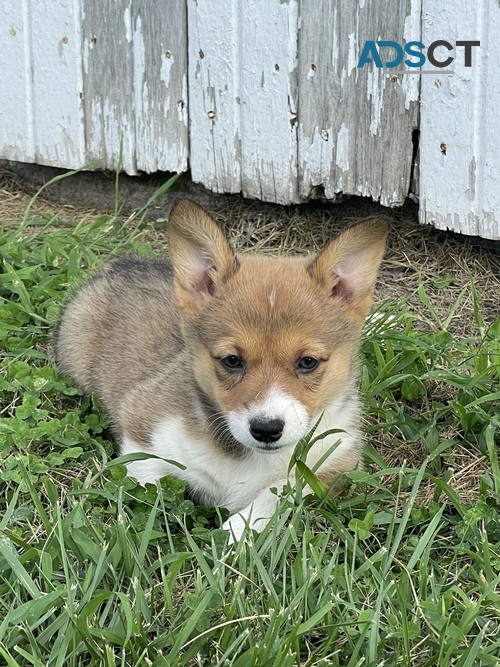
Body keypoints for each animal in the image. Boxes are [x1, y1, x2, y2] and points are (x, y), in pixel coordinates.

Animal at [56, 200, 388, 544]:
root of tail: (123, 265)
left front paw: (235, 534)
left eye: (307, 362)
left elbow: (278, 494)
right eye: (232, 360)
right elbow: (147, 482)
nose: (266, 429)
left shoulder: (337, 460)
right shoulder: (141, 425)